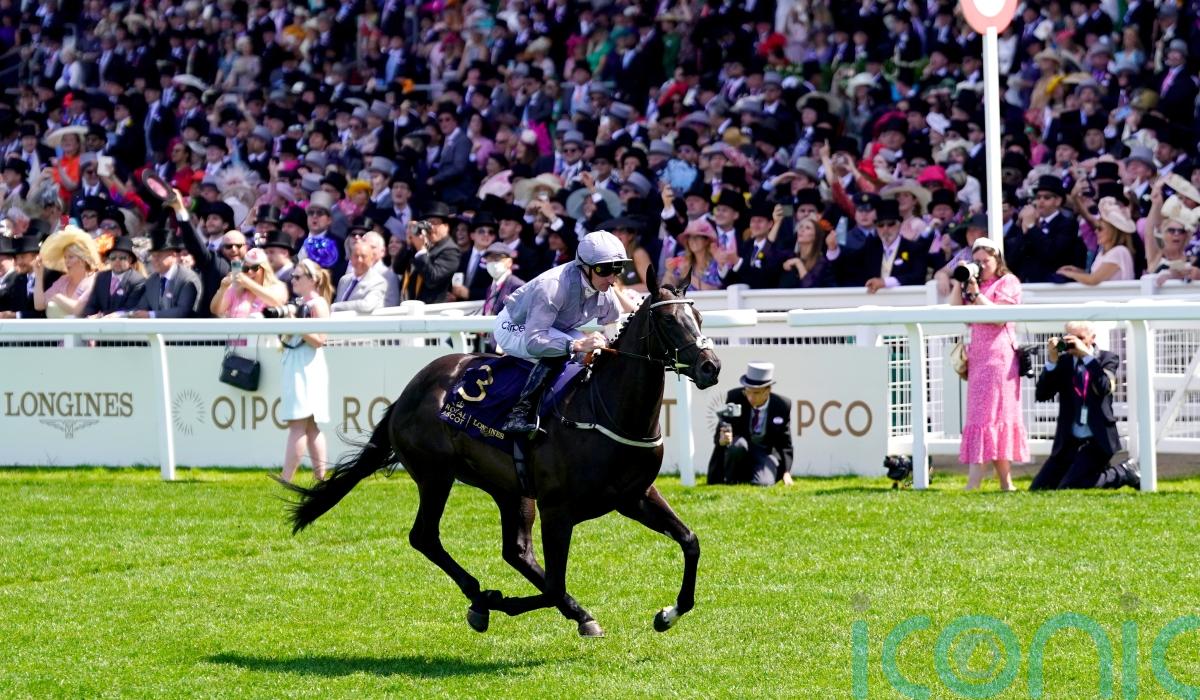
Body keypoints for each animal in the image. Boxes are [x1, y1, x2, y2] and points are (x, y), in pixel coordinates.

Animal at [282, 266, 720, 637]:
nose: (710, 367)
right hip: (436, 475)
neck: (606, 410)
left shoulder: (635, 496)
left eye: (699, 316)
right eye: (668, 320)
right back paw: (484, 597)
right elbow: (555, 585)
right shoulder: (558, 510)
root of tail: (409, 391)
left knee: (516, 551)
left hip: (509, 488)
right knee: (426, 537)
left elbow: (691, 541)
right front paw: (501, 602)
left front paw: (668, 613)